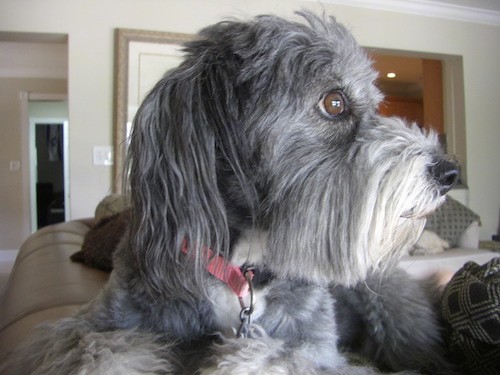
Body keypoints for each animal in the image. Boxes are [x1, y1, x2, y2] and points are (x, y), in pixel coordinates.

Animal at [1, 11, 458, 375]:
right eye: (334, 102)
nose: (450, 171)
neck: (242, 270)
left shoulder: (320, 353)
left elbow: (272, 355)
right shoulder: (88, 327)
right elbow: (102, 351)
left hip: (393, 310)